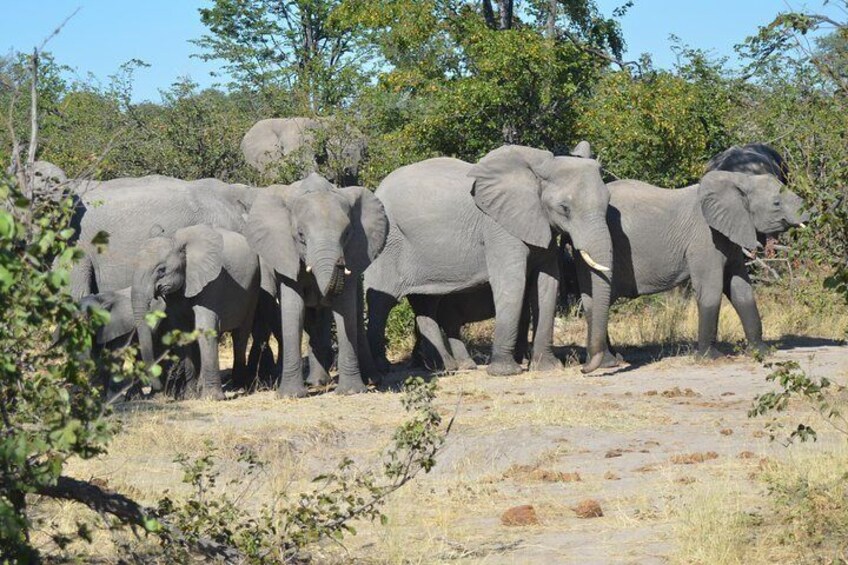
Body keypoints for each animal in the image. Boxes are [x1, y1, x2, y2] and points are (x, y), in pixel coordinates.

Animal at [129, 223, 260, 398]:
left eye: (161, 270)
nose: (157, 391)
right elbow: (183, 332)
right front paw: (189, 396)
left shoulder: (213, 282)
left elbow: (205, 327)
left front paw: (212, 398)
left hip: (253, 287)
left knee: (240, 335)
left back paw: (239, 387)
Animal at [243, 172, 390, 396]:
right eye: (300, 235)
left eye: (347, 233)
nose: (339, 262)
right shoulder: (285, 253)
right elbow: (294, 309)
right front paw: (291, 395)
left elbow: (345, 311)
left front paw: (351, 392)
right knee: (312, 319)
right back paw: (317, 382)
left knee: (353, 315)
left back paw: (371, 379)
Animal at [366, 143, 616, 376]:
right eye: (564, 208)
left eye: (608, 204)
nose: (584, 369)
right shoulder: (498, 227)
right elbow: (512, 282)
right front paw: (505, 371)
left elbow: (547, 284)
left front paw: (547, 368)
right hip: (389, 243)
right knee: (381, 301)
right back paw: (383, 368)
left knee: (426, 303)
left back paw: (448, 368)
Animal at [576, 170, 808, 362]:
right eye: (776, 203)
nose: (809, 212)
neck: (739, 180)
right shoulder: (705, 239)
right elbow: (711, 290)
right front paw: (710, 358)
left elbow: (741, 289)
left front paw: (762, 352)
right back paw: (607, 362)